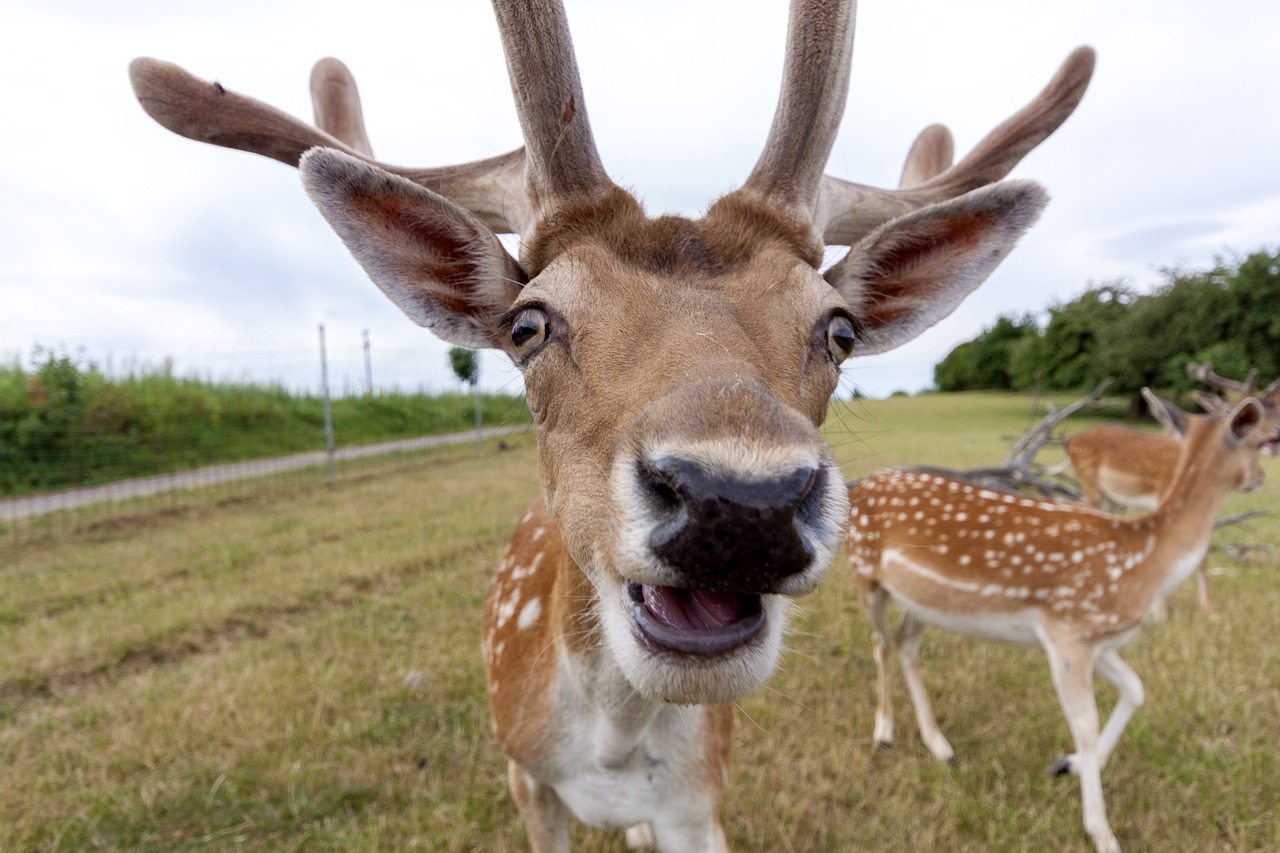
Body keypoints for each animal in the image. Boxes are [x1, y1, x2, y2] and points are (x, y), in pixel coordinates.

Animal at [127, 0, 1090, 845]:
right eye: (528, 324)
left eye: (839, 329)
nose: (741, 503)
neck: (612, 750)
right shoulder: (522, 775)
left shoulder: (701, 801)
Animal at [849, 386, 1269, 850]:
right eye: (1261, 440)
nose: (1260, 479)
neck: (1147, 560)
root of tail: (856, 488)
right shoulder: (1067, 631)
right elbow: (1085, 724)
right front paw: (1102, 832)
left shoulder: (1095, 637)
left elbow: (1136, 689)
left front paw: (1069, 765)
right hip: (865, 574)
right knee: (879, 642)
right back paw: (884, 734)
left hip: (923, 601)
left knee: (904, 641)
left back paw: (941, 747)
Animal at [1054, 358, 1274, 617]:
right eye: (1254, 440)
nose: (1260, 477)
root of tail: (1069, 442)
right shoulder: (1163, 493)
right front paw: (1191, 612)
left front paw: (1206, 610)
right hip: (1091, 485)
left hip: (1111, 498)